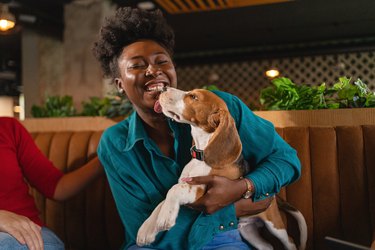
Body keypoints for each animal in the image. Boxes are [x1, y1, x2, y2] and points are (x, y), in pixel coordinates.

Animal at [137, 88, 306, 250]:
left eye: (193, 97)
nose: (162, 89)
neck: (201, 155)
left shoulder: (198, 188)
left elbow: (173, 190)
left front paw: (166, 217)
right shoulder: (186, 183)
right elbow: (161, 202)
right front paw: (146, 230)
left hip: (274, 225)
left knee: (290, 241)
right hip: (248, 231)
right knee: (267, 246)